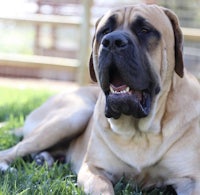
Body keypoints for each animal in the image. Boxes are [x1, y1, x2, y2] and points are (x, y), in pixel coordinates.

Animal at [0, 3, 200, 195]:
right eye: (105, 31)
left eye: (144, 29)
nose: (112, 41)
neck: (140, 132)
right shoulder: (93, 169)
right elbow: (104, 188)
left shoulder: (191, 180)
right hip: (74, 115)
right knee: (12, 150)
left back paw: (44, 159)